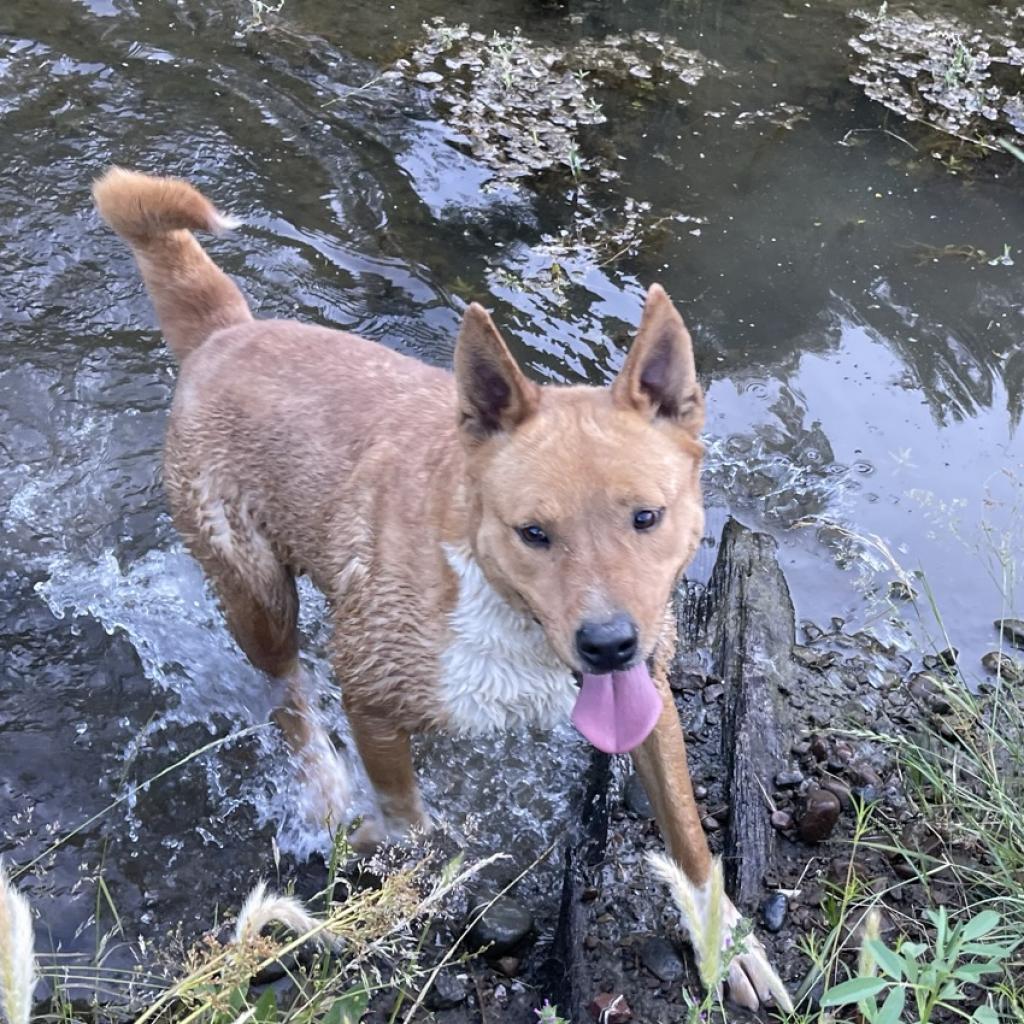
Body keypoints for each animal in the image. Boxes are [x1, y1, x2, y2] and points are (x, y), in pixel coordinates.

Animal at [92, 167, 786, 1007]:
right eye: (533, 532)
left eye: (646, 516)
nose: (608, 643)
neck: (509, 616)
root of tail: (224, 332)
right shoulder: (371, 688)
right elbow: (406, 816)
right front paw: (400, 868)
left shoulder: (650, 696)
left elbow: (687, 833)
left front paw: (728, 942)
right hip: (255, 591)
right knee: (285, 689)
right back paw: (322, 785)